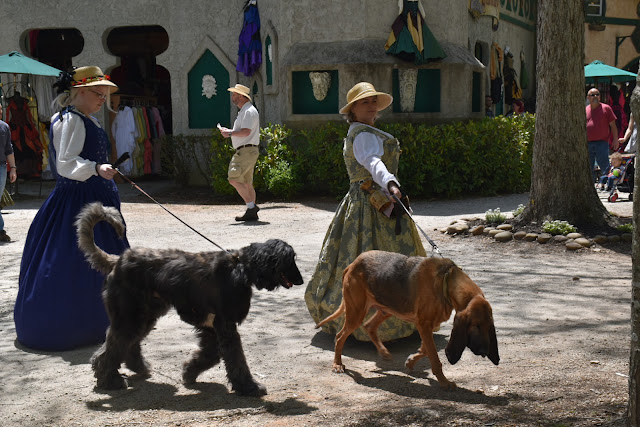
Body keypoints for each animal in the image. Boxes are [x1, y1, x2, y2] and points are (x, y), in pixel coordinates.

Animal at [75, 202, 304, 396]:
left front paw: (189, 372)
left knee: (125, 345)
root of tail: (118, 261)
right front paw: (249, 387)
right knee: (115, 347)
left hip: (144, 315)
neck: (242, 268)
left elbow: (211, 354)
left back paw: (131, 368)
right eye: (290, 260)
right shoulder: (225, 325)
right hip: (131, 316)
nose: (301, 280)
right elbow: (235, 358)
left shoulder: (213, 327)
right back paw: (110, 380)